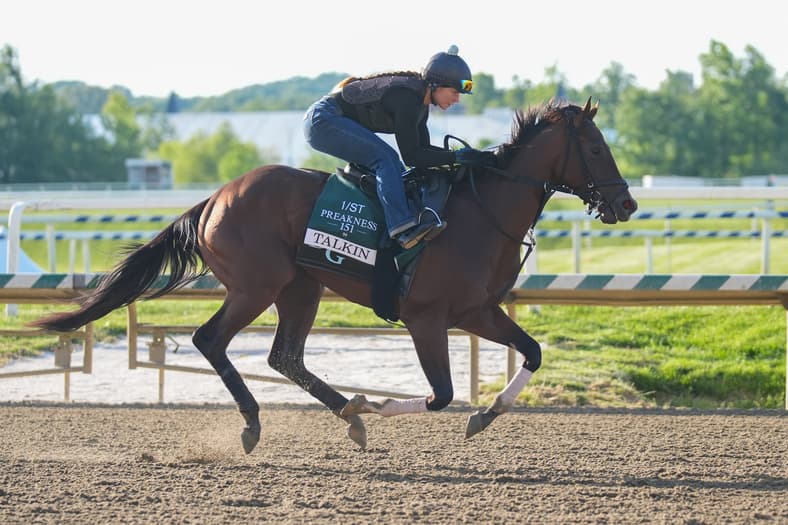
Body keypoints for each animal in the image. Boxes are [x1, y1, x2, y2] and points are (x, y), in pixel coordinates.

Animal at [32, 97, 637, 453]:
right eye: (595, 146)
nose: (627, 204)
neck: (479, 212)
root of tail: (214, 199)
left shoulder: (477, 311)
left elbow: (531, 352)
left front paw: (485, 415)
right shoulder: (425, 317)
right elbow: (439, 393)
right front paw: (383, 404)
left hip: (301, 287)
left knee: (284, 356)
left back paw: (347, 411)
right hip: (257, 285)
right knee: (211, 340)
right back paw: (259, 422)